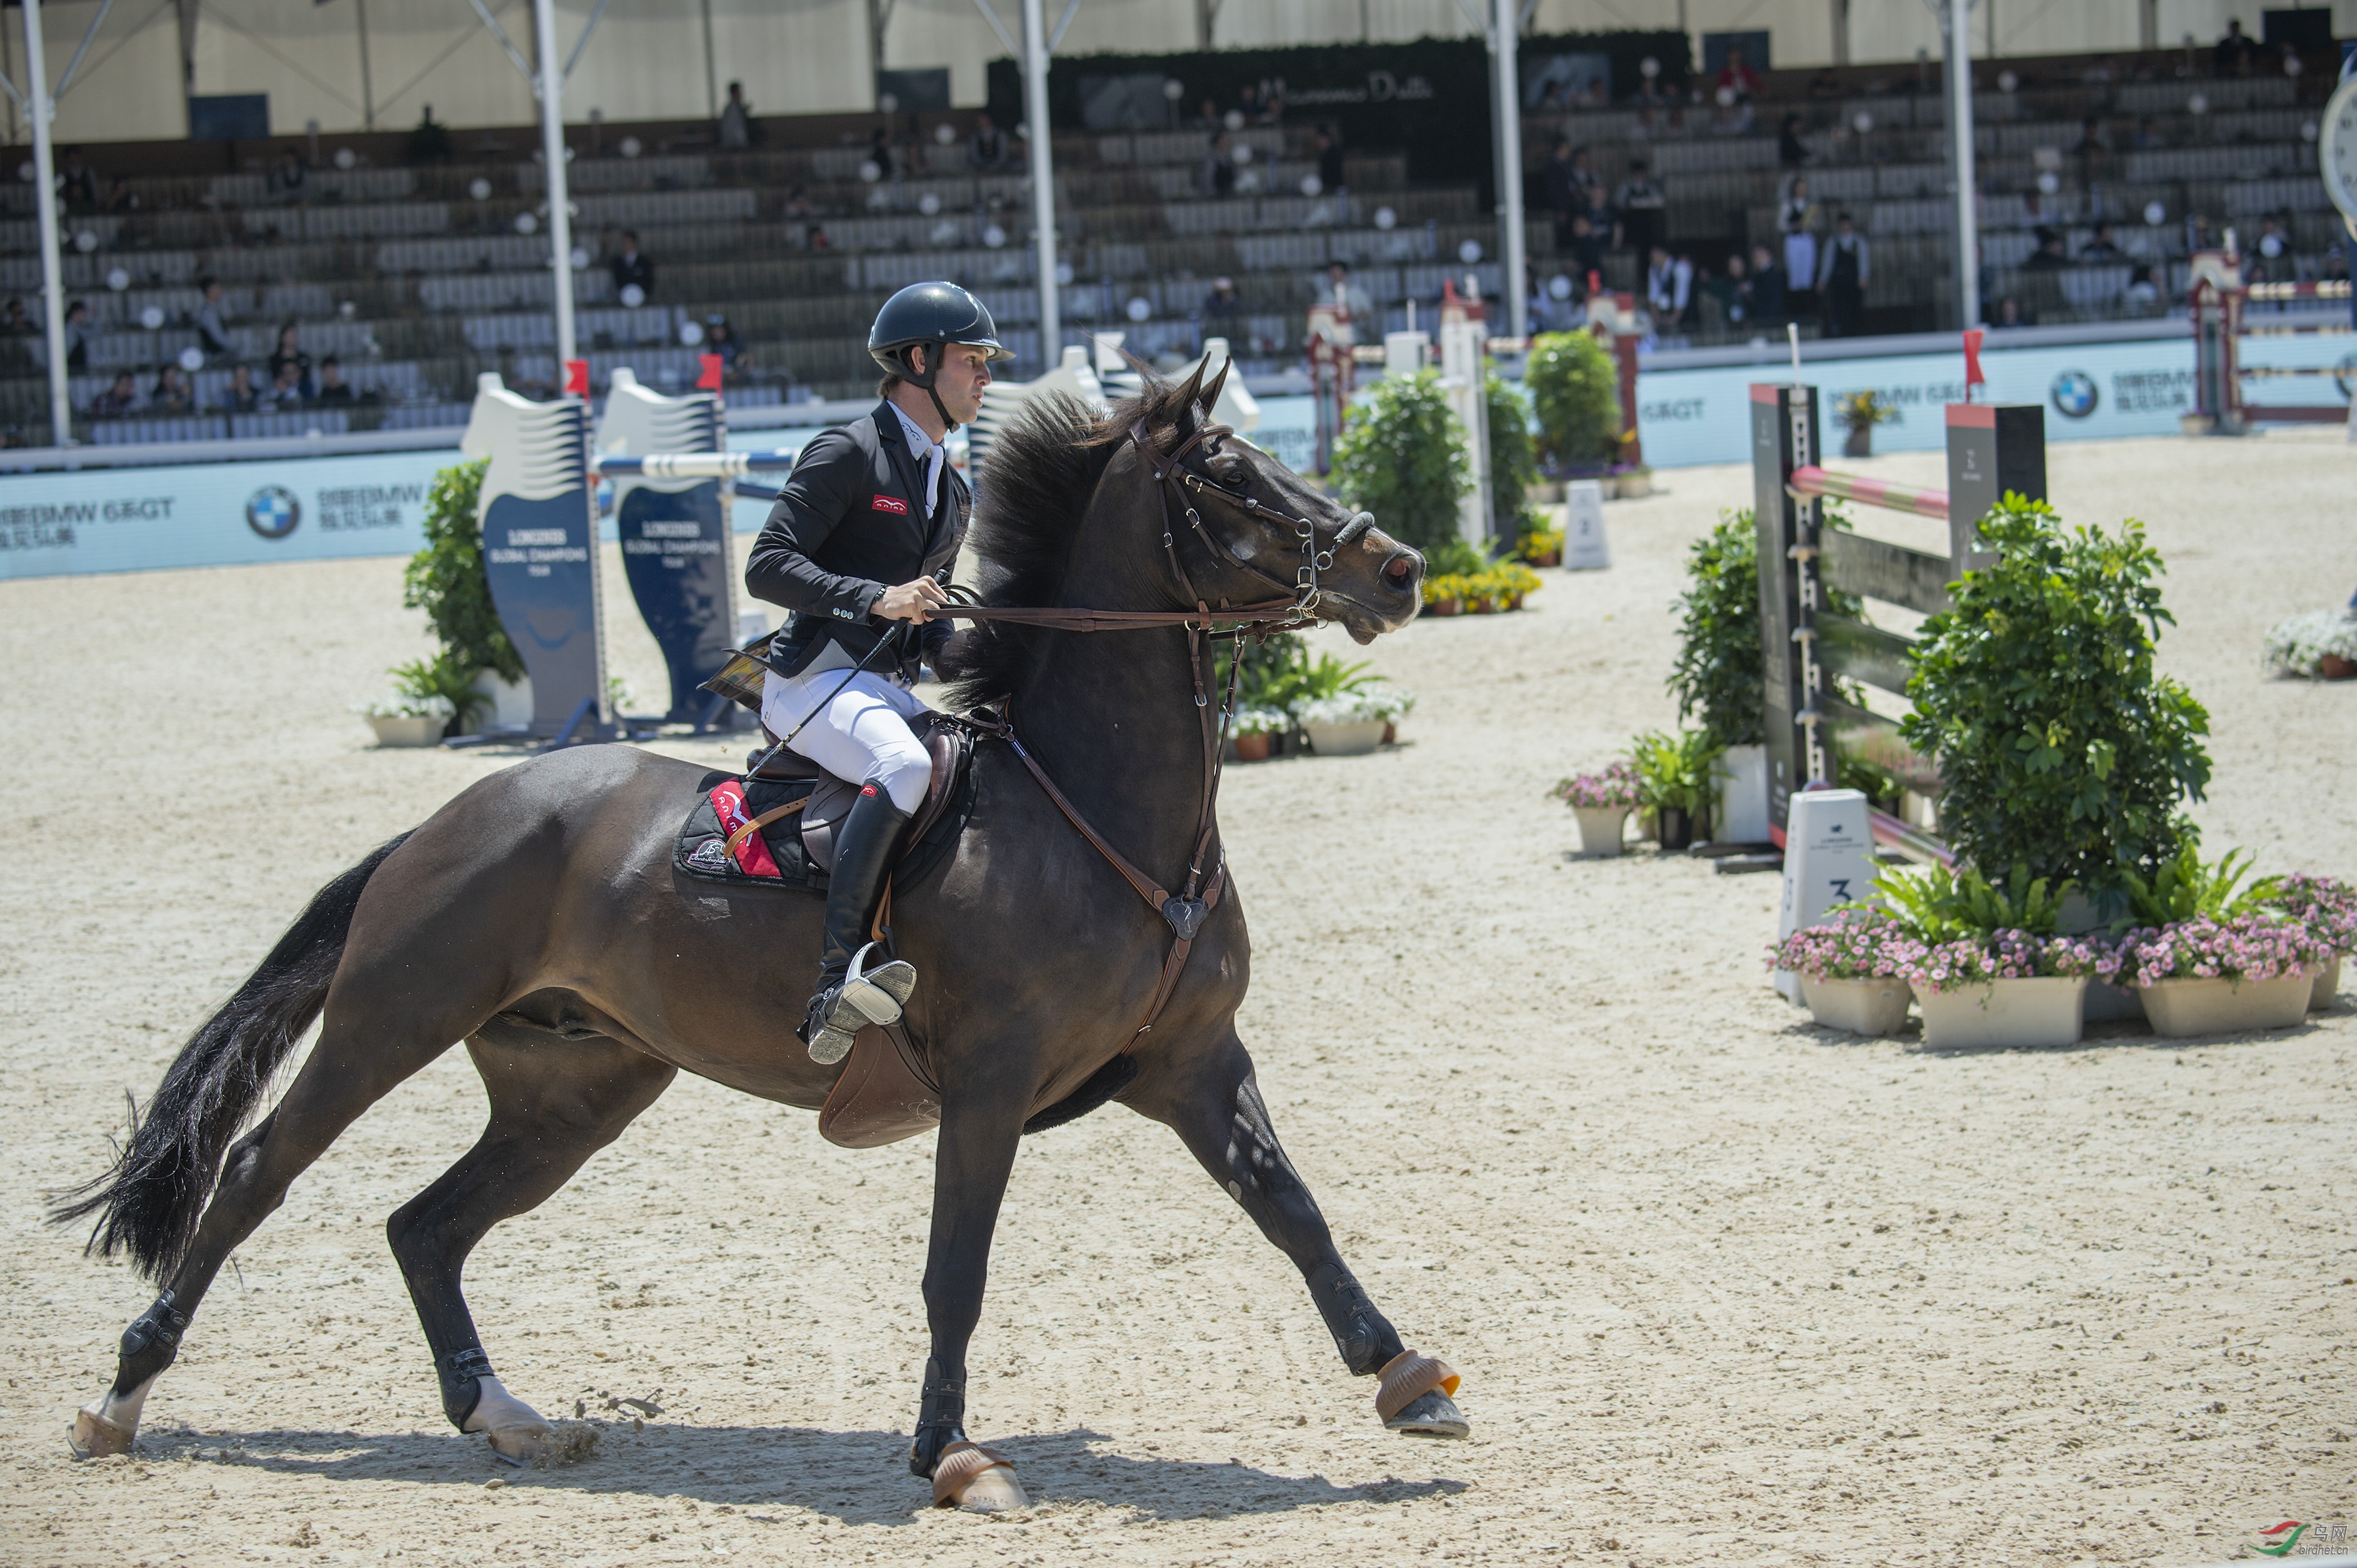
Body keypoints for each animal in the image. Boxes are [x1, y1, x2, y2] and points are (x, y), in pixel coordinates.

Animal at [55, 363, 1451, 1509]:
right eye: (1230, 476)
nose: (1400, 570)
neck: (1094, 808)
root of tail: (454, 814)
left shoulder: (1193, 1058)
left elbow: (1292, 1207)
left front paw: (1406, 1376)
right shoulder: (990, 1084)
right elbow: (957, 1269)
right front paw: (951, 1455)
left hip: (575, 1089)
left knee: (426, 1227)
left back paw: (507, 1418)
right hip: (391, 1019)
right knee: (257, 1175)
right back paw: (119, 1402)